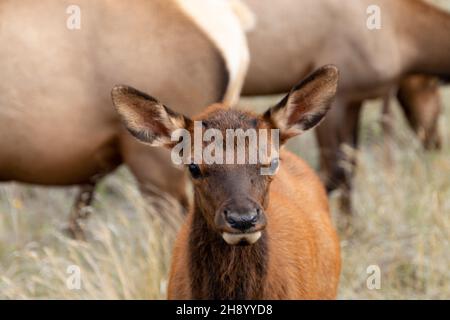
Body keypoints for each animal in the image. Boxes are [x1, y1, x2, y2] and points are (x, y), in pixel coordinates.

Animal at [243, 0, 450, 211]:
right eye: (441, 107)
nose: (436, 143)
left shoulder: (355, 102)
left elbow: (350, 166)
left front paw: (349, 219)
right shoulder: (337, 102)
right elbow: (333, 171)